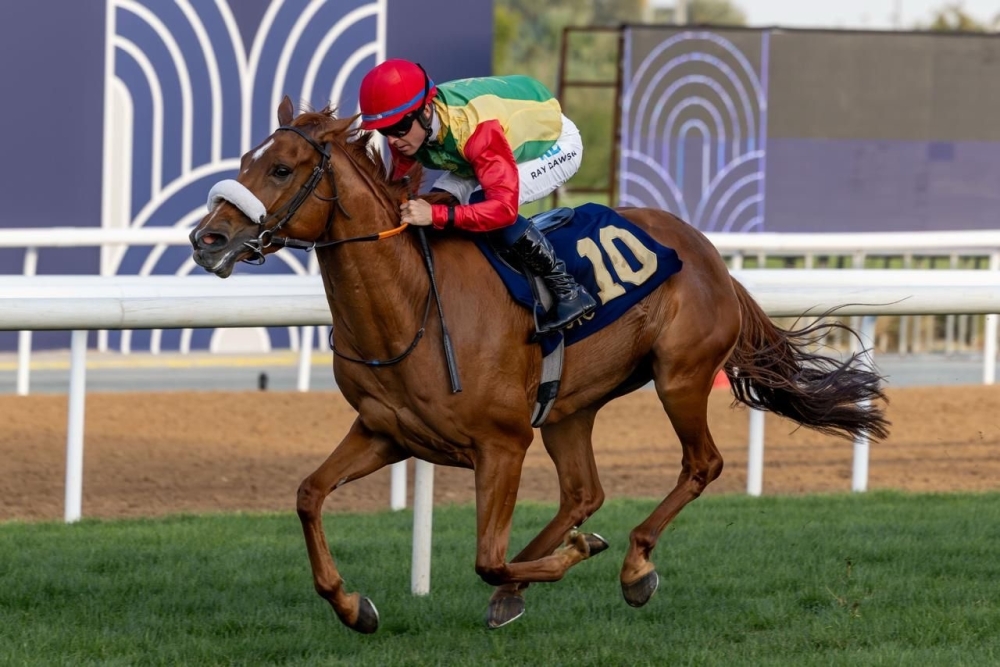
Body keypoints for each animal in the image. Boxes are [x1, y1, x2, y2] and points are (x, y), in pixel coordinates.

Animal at [190, 96, 889, 634]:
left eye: (281, 168)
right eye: (246, 162)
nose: (207, 239)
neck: (413, 301)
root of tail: (709, 254)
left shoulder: (501, 444)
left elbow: (486, 558)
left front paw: (574, 558)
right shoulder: (387, 432)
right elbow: (309, 495)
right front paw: (352, 605)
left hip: (680, 376)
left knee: (701, 464)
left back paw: (633, 565)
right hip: (567, 408)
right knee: (584, 491)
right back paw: (530, 586)